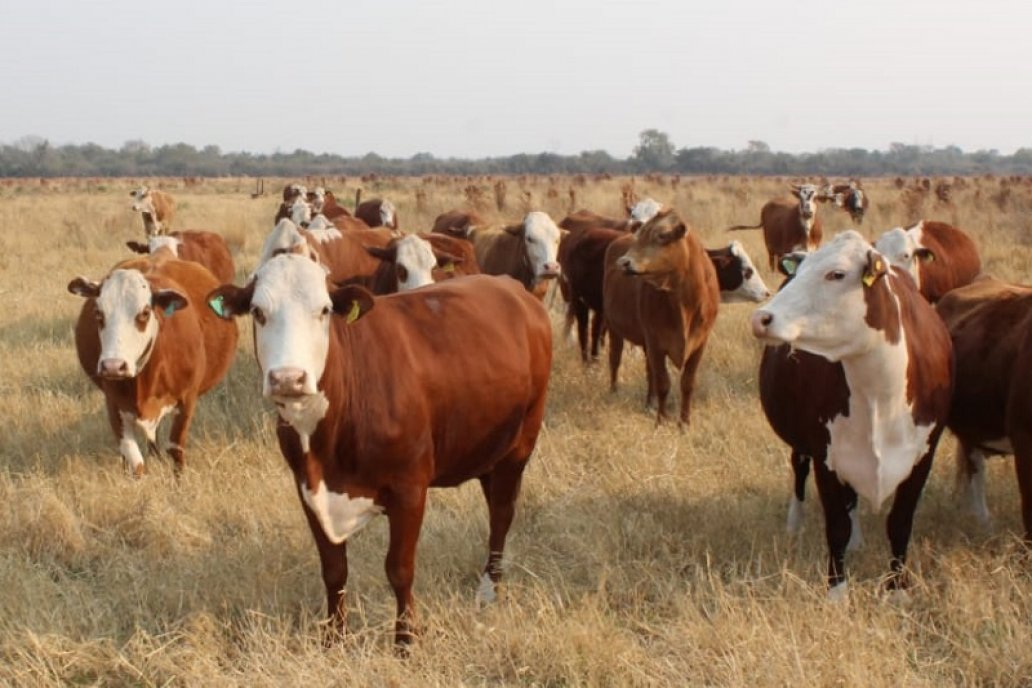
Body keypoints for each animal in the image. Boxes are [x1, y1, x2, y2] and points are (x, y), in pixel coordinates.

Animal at [68, 252, 237, 478]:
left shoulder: (187, 401)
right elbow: (135, 461)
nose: (113, 366)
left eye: (145, 313)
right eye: (98, 313)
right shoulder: (113, 404)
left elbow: (175, 450)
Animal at [204, 256, 553, 647]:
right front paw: (334, 639)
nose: (288, 378)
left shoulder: (410, 489)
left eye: (324, 310)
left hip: (519, 445)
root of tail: (511, 286)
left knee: (501, 516)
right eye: (258, 312)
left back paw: (489, 591)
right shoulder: (308, 489)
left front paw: (405, 641)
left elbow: (399, 569)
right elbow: (334, 570)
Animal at [602, 208, 718, 424]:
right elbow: (663, 383)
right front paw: (661, 421)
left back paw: (650, 403)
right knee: (615, 358)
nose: (624, 262)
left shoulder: (700, 343)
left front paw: (684, 423)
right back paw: (614, 392)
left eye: (662, 236)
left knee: (649, 373)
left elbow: (687, 383)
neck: (685, 304)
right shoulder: (656, 341)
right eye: (641, 235)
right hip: (614, 327)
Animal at [751, 230, 949, 598]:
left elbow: (900, 523)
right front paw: (837, 591)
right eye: (800, 273)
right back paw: (795, 522)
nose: (761, 318)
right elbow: (837, 526)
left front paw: (897, 588)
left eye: (837, 274)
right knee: (799, 469)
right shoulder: (825, 454)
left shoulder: (923, 455)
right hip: (804, 443)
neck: (880, 395)